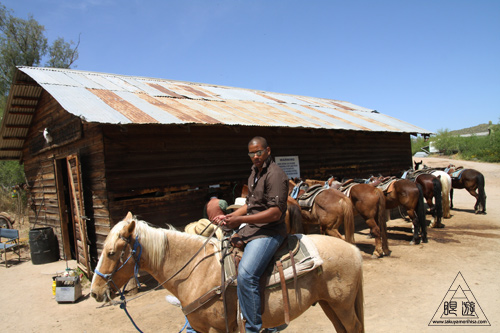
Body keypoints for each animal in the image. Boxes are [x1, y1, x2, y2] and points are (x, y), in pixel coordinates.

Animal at [91, 213, 364, 332]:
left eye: (111, 253)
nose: (94, 292)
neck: (194, 272)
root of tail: (353, 250)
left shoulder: (216, 329)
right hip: (329, 304)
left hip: (342, 305)